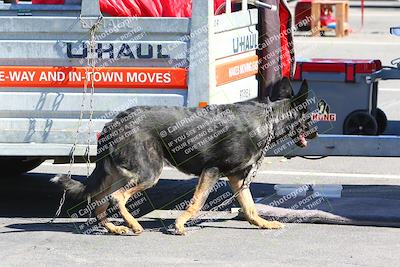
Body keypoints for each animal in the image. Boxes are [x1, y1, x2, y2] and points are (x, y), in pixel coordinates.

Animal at [52, 77, 316, 234]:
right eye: (309, 118)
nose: (315, 134)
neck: (269, 120)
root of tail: (114, 122)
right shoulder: (212, 171)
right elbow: (196, 203)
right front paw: (179, 224)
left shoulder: (237, 177)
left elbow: (250, 206)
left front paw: (262, 223)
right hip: (148, 173)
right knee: (117, 198)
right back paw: (134, 224)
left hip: (121, 174)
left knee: (100, 201)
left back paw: (115, 228)